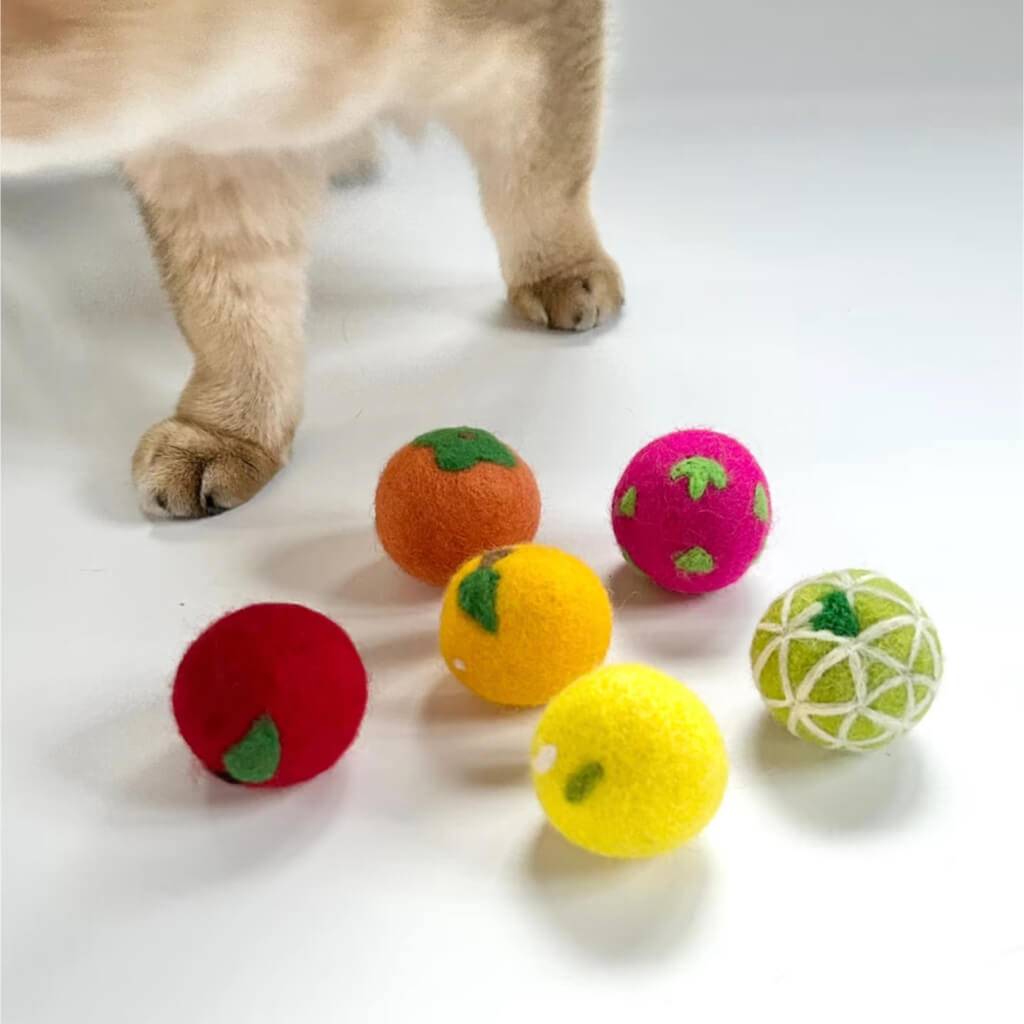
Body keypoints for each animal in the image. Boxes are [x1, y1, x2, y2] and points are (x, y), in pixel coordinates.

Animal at [2, 0, 622, 512]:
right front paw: (228, 432)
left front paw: (563, 273)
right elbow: (229, 309)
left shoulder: (539, 34)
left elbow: (543, 180)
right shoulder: (214, 152)